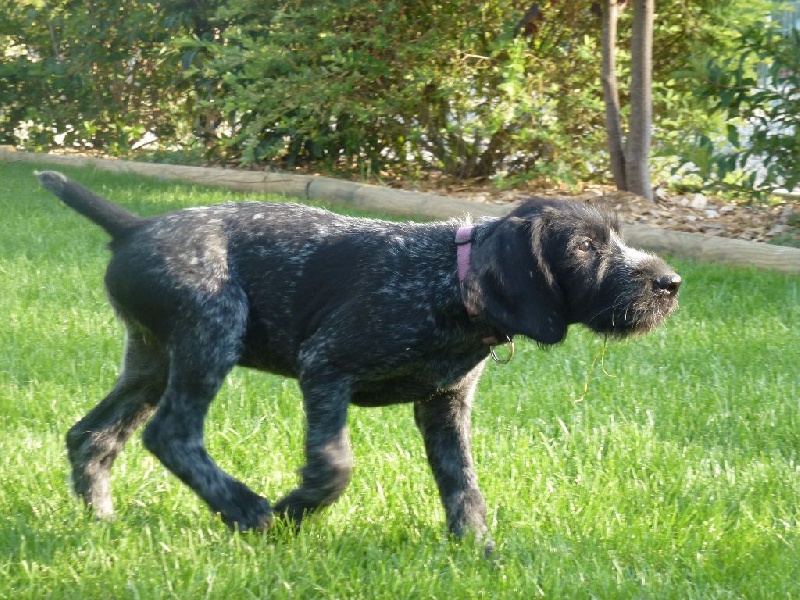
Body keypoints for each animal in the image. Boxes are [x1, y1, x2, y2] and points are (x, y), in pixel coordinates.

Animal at [37, 171, 680, 549]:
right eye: (584, 247)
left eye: (618, 239)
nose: (670, 284)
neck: (452, 280)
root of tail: (135, 226)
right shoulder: (325, 367)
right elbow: (334, 465)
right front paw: (293, 512)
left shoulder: (444, 408)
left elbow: (464, 488)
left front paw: (479, 555)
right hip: (211, 332)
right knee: (171, 433)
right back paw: (244, 509)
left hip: (152, 361)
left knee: (92, 436)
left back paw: (102, 520)